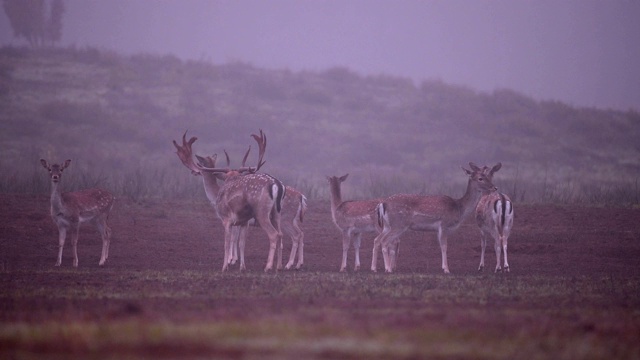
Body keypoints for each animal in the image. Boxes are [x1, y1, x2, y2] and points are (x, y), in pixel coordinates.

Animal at [372, 162, 502, 272]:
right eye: (480, 178)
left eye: (488, 176)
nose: (494, 187)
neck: (458, 208)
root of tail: (383, 204)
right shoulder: (444, 224)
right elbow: (444, 246)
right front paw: (446, 269)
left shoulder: (439, 228)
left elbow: (441, 245)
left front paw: (444, 267)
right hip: (398, 224)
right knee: (384, 241)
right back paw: (388, 269)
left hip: (387, 225)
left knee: (377, 239)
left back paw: (374, 268)